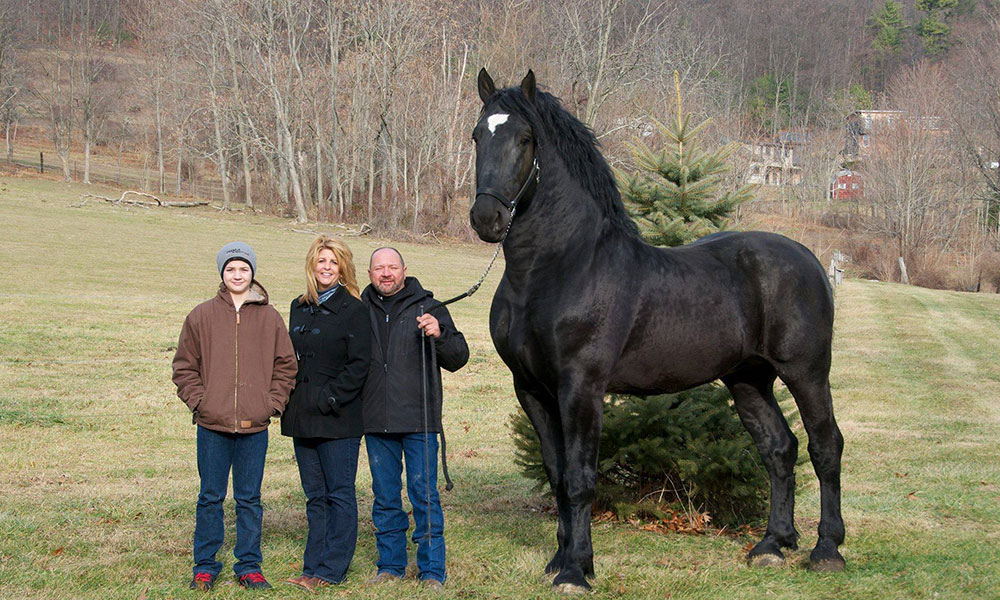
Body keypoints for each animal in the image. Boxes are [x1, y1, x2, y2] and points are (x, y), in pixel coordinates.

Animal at [469, 68, 845, 593]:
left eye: (525, 139)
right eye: (477, 136)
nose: (487, 218)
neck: (560, 267)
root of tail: (808, 258)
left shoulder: (581, 388)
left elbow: (581, 478)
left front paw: (576, 571)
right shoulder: (531, 390)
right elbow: (557, 475)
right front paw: (561, 558)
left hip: (806, 372)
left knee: (825, 445)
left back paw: (827, 550)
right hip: (748, 379)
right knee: (779, 449)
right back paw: (773, 545)